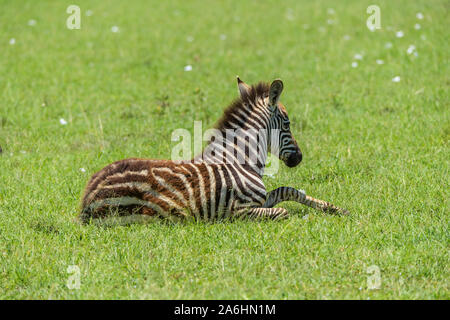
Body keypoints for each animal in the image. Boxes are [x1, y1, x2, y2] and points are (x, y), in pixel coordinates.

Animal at [79, 77, 348, 224]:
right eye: (288, 123)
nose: (299, 158)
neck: (242, 160)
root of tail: (88, 195)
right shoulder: (236, 211)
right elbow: (283, 211)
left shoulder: (263, 198)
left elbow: (290, 191)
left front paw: (334, 208)